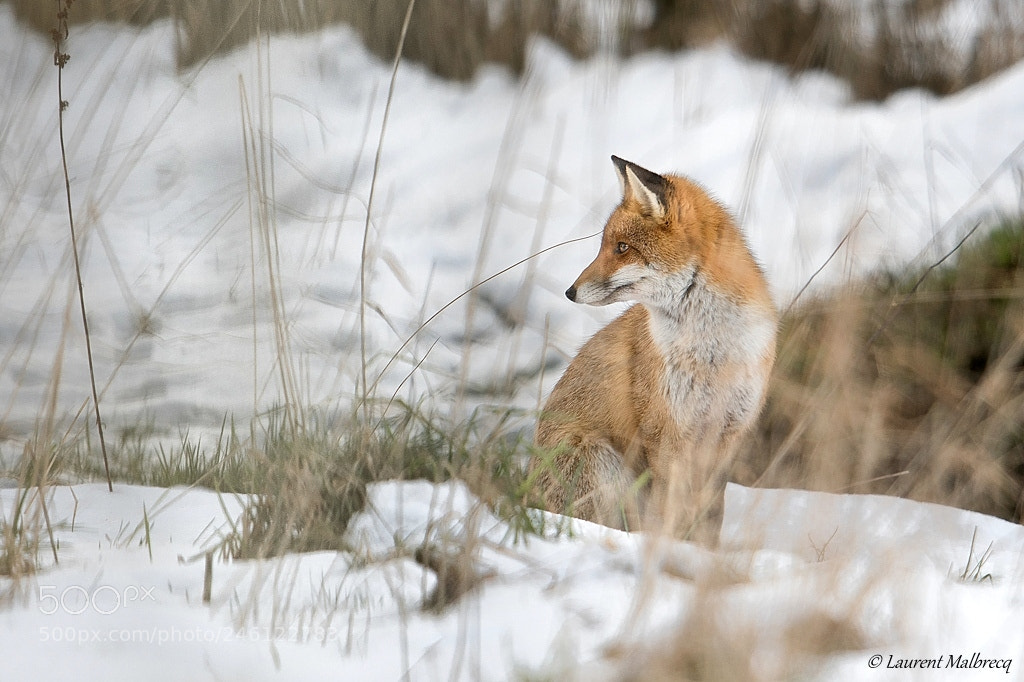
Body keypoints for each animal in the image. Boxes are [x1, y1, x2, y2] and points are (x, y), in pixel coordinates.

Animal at [531, 156, 777, 534]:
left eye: (622, 248)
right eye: (604, 246)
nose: (570, 292)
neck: (712, 351)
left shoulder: (728, 436)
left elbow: (709, 520)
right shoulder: (667, 434)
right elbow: (669, 515)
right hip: (599, 459)